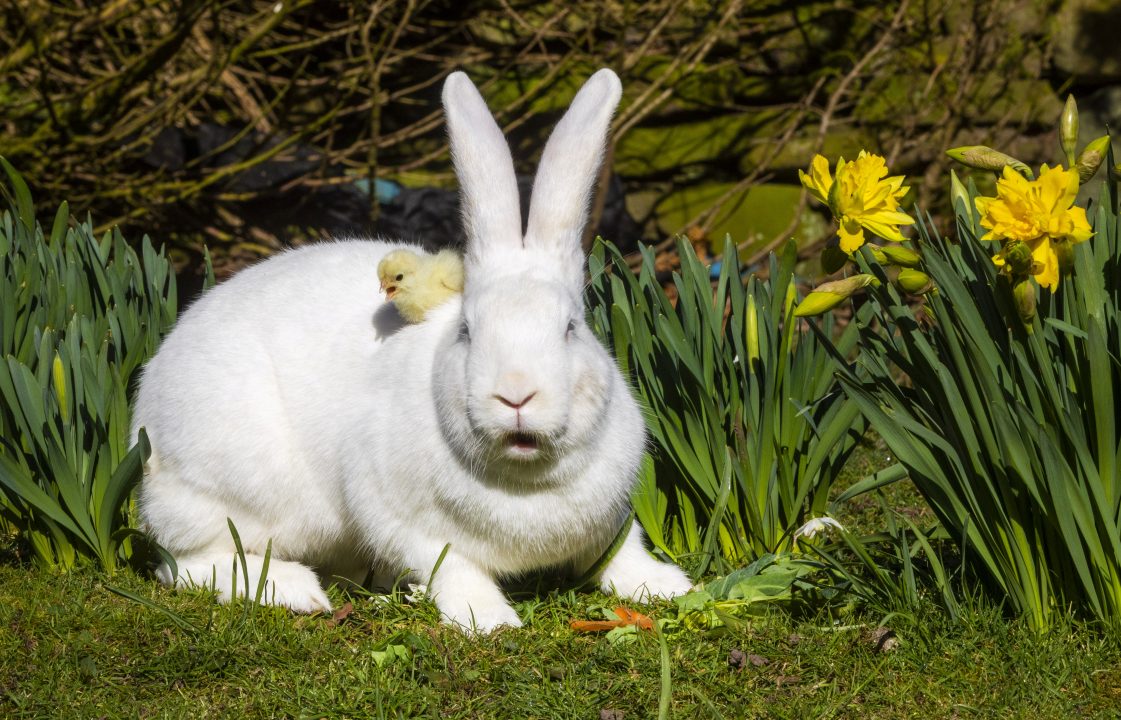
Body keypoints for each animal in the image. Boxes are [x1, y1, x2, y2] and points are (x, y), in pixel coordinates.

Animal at [131, 67, 690, 628]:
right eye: (467, 331)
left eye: (570, 327)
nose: (516, 395)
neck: (526, 478)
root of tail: (145, 415)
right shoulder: (407, 522)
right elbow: (454, 568)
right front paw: (489, 621)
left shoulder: (610, 519)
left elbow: (620, 553)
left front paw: (668, 586)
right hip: (236, 494)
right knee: (186, 564)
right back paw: (297, 591)